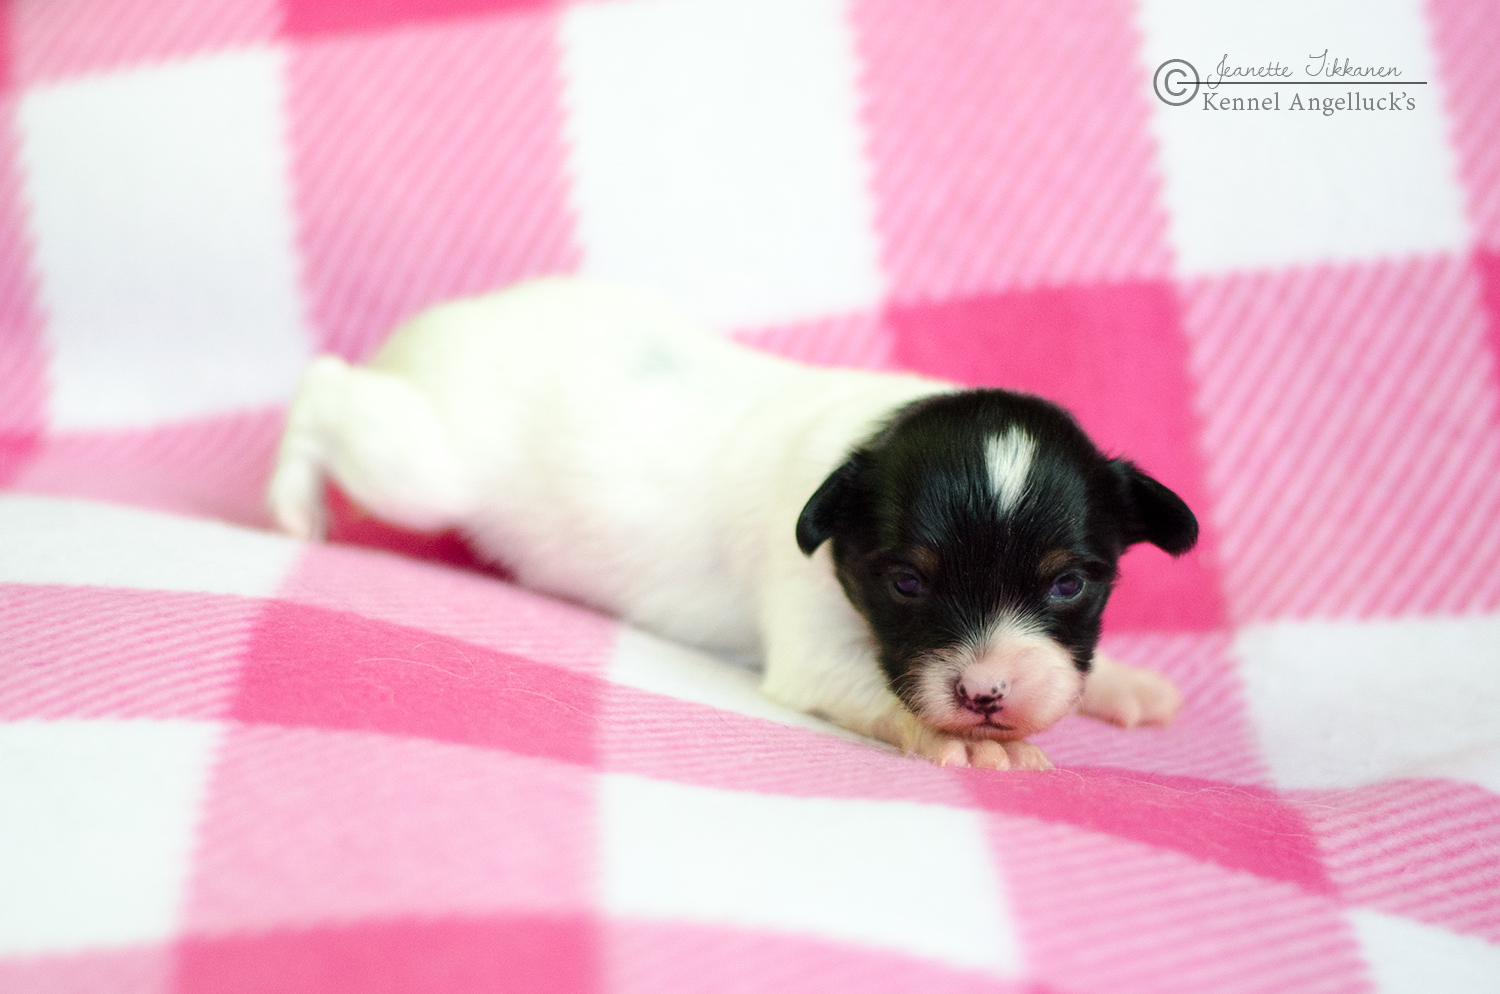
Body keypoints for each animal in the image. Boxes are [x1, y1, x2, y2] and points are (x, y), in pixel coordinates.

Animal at [269, 277, 1196, 769]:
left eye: (1069, 585)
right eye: (906, 582)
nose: (985, 696)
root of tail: (440, 319)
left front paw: (1120, 681)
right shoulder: (815, 640)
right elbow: (865, 685)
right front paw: (966, 742)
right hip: (420, 467)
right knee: (324, 387)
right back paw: (291, 504)